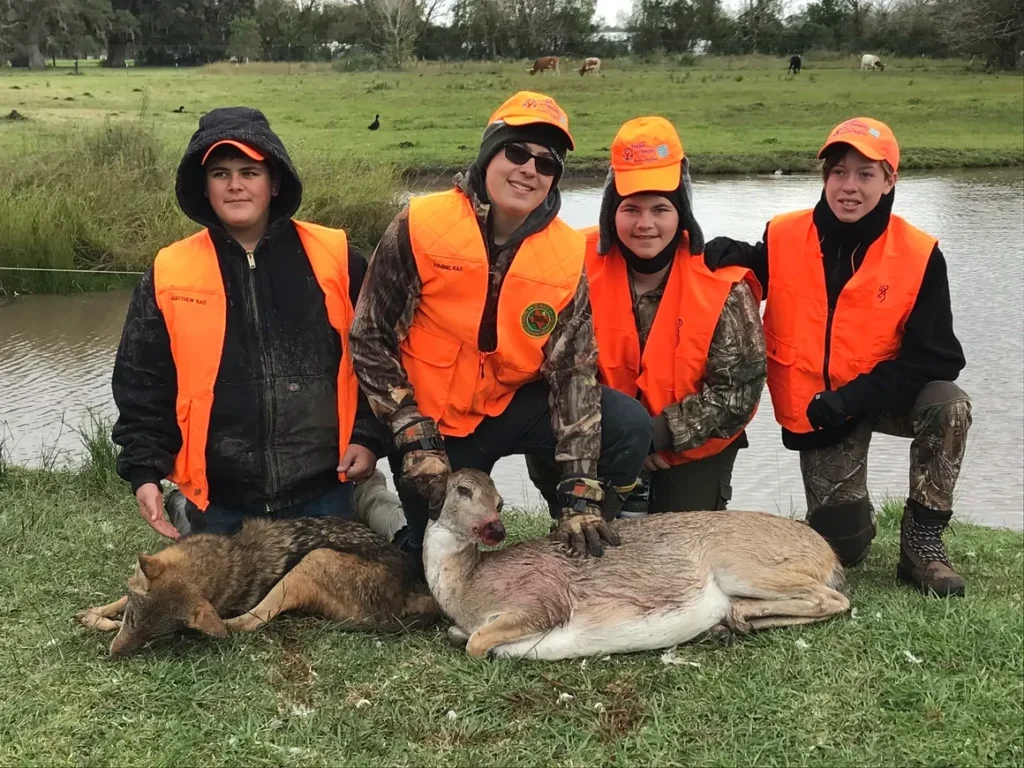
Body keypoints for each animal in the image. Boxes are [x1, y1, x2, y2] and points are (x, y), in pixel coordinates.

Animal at [423, 468, 847, 663]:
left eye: (498, 501)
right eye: (462, 489)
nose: (494, 528)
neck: (468, 587)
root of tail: (828, 552)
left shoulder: (544, 601)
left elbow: (476, 643)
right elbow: (460, 636)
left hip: (746, 565)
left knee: (834, 600)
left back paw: (734, 617)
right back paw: (729, 623)